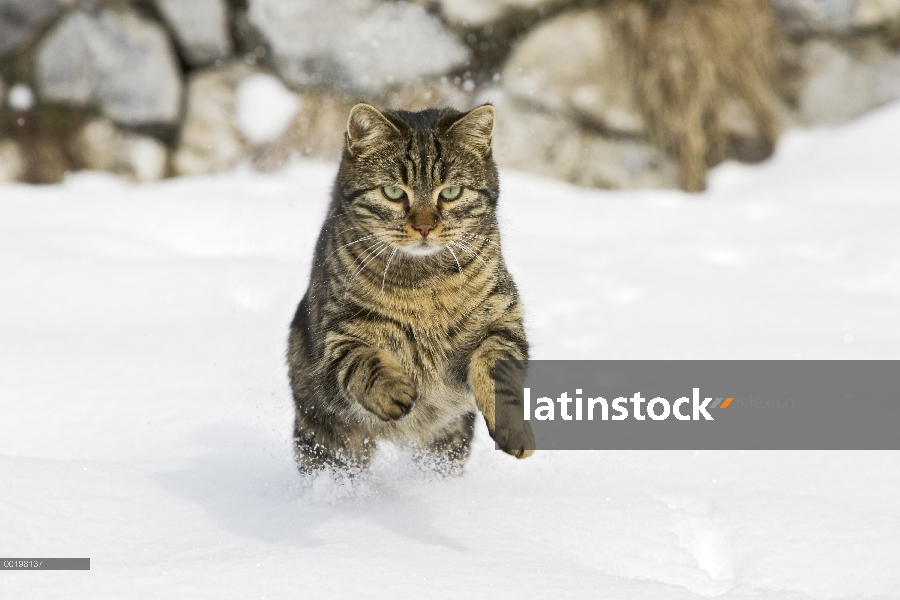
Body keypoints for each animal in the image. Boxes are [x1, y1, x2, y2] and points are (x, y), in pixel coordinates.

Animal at [284, 104, 532, 474]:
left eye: (451, 192)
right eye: (393, 192)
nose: (425, 226)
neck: (425, 284)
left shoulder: (501, 318)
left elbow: (497, 372)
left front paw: (513, 428)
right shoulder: (337, 332)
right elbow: (364, 360)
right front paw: (391, 390)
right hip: (325, 435)